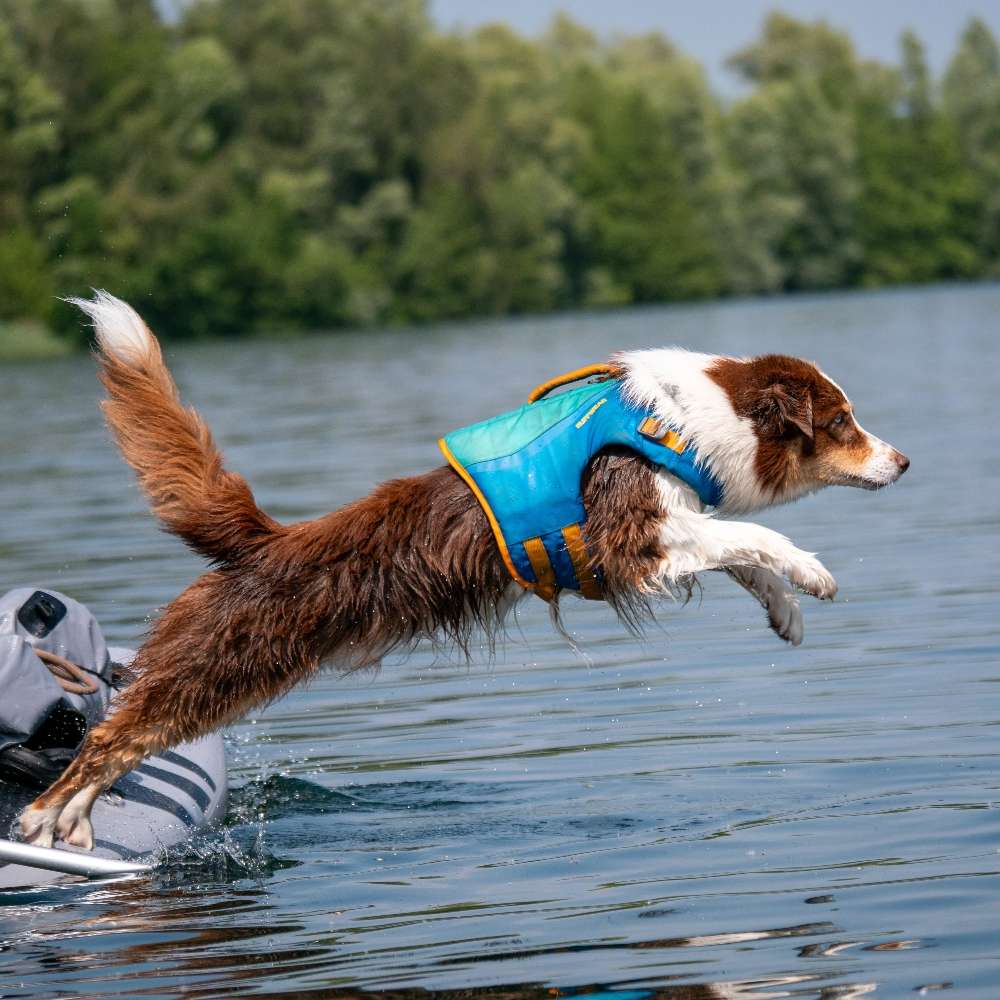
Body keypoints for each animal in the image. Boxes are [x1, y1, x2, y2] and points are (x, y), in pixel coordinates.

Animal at [19, 292, 912, 848]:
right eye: (842, 423)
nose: (904, 461)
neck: (696, 419)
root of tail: (264, 542)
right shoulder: (632, 535)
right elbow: (752, 536)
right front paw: (811, 572)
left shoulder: (668, 532)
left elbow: (737, 550)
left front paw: (787, 609)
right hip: (224, 661)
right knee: (115, 731)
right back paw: (39, 820)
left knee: (130, 734)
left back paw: (74, 824)